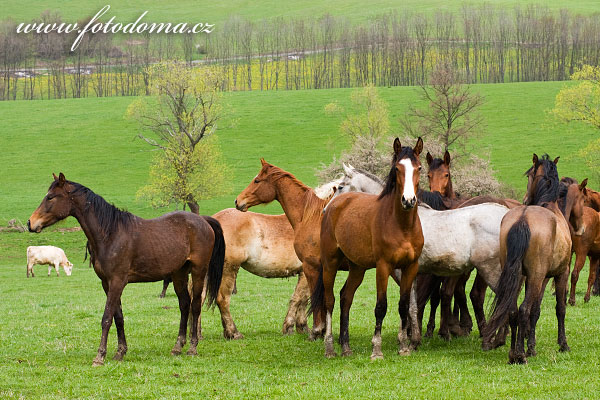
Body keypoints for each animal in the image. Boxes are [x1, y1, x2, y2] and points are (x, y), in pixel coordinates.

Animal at [27, 173, 225, 368]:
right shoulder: (107, 283)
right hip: (179, 273)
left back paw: (192, 347)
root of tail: (203, 220)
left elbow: (107, 318)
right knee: (184, 304)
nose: (30, 223)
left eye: (50, 197)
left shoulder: (117, 281)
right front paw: (120, 352)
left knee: (195, 305)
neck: (110, 234)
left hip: (199, 271)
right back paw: (177, 347)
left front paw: (100, 356)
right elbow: (118, 317)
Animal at [314, 138, 422, 360]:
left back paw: (346, 347)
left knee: (346, 297)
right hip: (330, 264)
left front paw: (404, 347)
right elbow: (381, 307)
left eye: (419, 168)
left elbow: (404, 305)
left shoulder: (410, 267)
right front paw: (377, 350)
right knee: (329, 301)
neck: (402, 225)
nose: (408, 200)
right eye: (397, 168)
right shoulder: (383, 267)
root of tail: (333, 206)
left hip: (357, 268)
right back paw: (330, 348)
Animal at [482, 155, 584, 364]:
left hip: (517, 276)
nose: (525, 199)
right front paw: (562, 344)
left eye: (529, 175)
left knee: (513, 310)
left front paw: (531, 344)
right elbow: (558, 308)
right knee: (523, 309)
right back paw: (520, 355)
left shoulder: (535, 278)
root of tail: (523, 218)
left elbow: (535, 311)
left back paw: (513, 352)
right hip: (538, 277)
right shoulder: (558, 274)